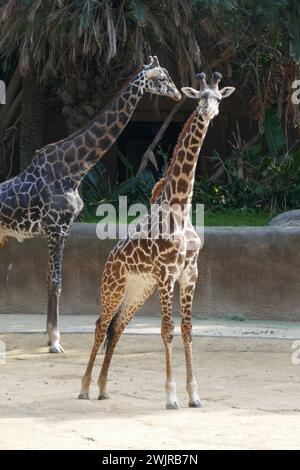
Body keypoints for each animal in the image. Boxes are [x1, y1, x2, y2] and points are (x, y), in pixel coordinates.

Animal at [0, 56, 180, 352]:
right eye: (163, 78)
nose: (177, 94)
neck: (73, 169)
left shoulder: (60, 230)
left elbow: (50, 279)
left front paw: (51, 336)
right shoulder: (56, 228)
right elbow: (56, 281)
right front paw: (55, 341)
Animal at [79, 71, 234, 410]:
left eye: (218, 98)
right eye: (199, 97)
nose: (209, 112)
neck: (181, 204)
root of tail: (108, 260)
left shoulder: (189, 274)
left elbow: (187, 330)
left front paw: (194, 395)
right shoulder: (166, 275)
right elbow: (166, 330)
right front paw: (172, 397)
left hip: (138, 290)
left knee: (117, 328)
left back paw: (103, 388)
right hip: (113, 287)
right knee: (100, 325)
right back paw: (83, 388)